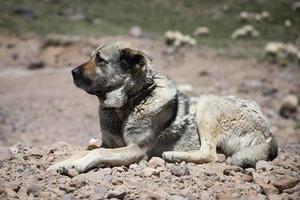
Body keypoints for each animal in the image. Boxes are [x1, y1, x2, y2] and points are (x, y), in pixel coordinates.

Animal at [47, 41, 278, 173]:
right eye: (91, 57)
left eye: (100, 60)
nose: (72, 72)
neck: (130, 102)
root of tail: (268, 133)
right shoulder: (109, 143)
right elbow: (83, 151)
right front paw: (61, 163)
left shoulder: (136, 149)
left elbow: (97, 154)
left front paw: (79, 164)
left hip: (208, 105)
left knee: (210, 154)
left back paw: (173, 156)